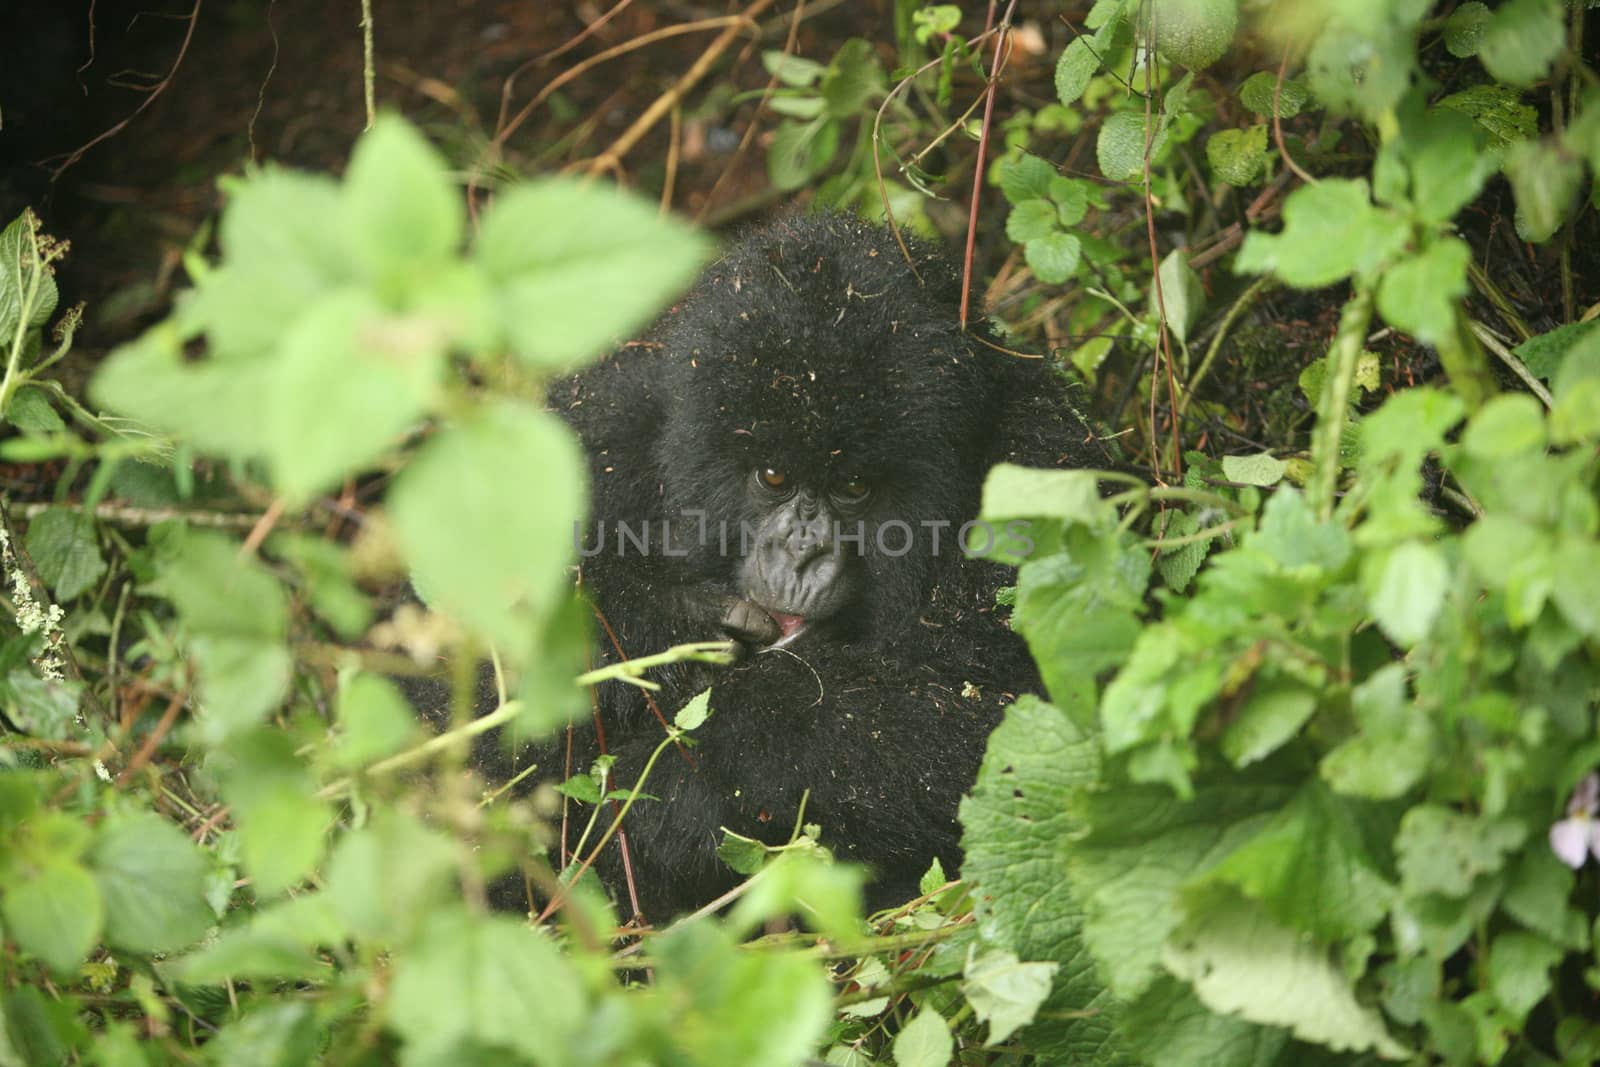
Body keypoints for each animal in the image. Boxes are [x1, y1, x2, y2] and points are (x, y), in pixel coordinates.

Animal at [531, 212, 1107, 921]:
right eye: (773, 476)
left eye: (854, 486)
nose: (801, 552)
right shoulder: (600, 425)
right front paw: (672, 624)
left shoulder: (1043, 461)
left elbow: (1014, 727)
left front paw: (667, 792)